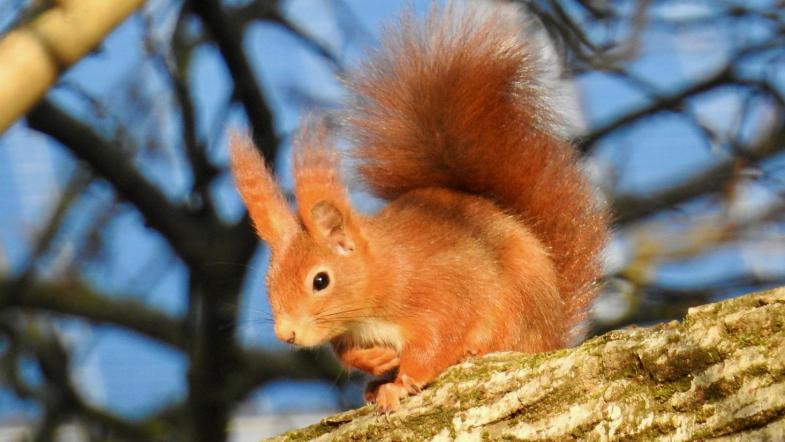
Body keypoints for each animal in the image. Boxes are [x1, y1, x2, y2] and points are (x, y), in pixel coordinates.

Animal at [229, 2, 608, 412]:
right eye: (269, 282)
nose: (287, 333)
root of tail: (553, 333)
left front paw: (401, 383)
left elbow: (436, 341)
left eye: (320, 280)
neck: (384, 277)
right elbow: (347, 352)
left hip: (520, 303)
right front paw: (376, 361)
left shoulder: (440, 292)